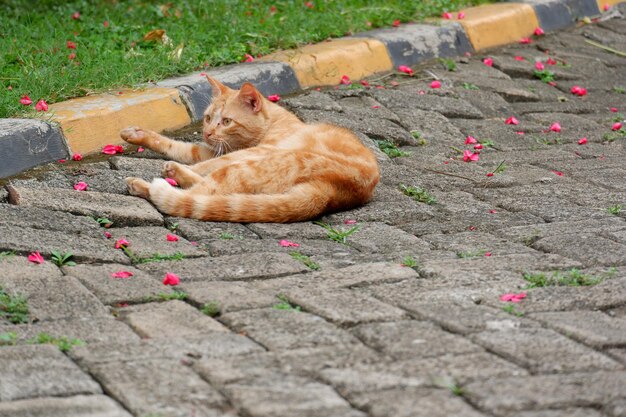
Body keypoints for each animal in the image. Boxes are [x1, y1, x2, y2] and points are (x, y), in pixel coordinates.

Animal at [120, 76, 378, 223]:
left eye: (226, 121)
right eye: (208, 118)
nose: (207, 133)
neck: (274, 123)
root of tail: (330, 192)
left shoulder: (250, 151)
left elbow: (203, 164)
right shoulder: (216, 149)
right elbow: (180, 147)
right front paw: (137, 135)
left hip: (250, 166)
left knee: (195, 195)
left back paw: (151, 182)